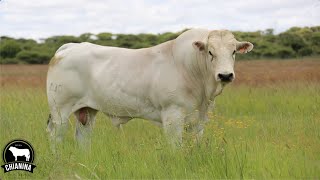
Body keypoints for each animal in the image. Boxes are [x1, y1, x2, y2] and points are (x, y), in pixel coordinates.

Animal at [47, 28, 252, 147]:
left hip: (87, 111)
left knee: (83, 137)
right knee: (55, 136)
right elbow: (176, 148)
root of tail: (69, 47)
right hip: (60, 110)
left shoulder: (199, 119)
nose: (225, 75)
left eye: (234, 51)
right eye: (210, 52)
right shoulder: (172, 116)